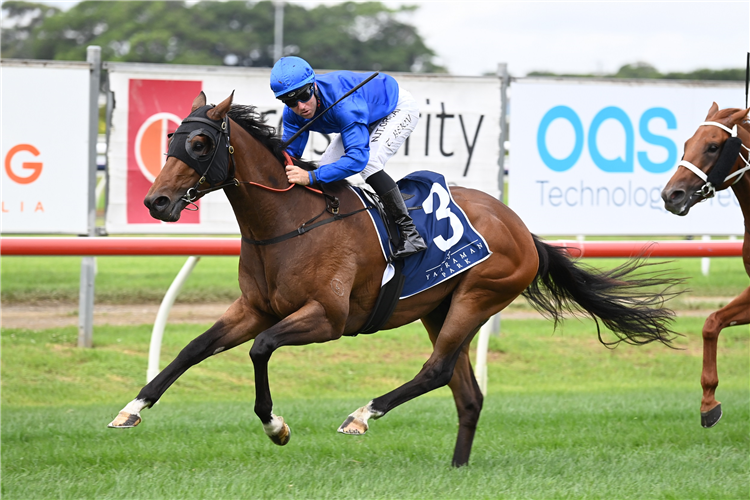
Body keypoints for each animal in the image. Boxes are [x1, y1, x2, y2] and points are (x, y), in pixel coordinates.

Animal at [108, 92, 684, 466]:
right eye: (171, 138)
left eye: (201, 145)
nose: (156, 201)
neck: (286, 221)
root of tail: (523, 230)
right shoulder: (254, 308)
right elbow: (192, 349)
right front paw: (130, 410)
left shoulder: (328, 318)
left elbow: (261, 349)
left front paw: (277, 427)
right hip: (437, 308)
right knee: (466, 393)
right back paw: (456, 469)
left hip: (478, 296)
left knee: (436, 371)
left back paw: (363, 414)